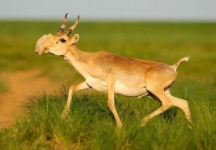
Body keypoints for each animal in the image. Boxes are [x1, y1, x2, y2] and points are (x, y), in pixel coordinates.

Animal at [35, 14, 192, 127]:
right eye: (55, 36)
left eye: (62, 39)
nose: (42, 48)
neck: (90, 59)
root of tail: (173, 67)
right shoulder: (90, 83)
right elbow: (72, 88)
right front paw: (63, 117)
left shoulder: (110, 82)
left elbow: (111, 103)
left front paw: (120, 127)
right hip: (156, 93)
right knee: (182, 103)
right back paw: (190, 129)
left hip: (155, 91)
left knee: (168, 103)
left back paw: (142, 122)